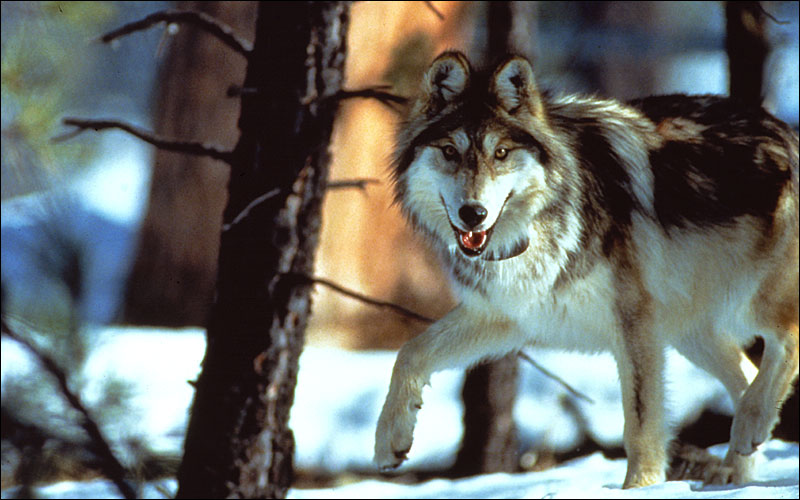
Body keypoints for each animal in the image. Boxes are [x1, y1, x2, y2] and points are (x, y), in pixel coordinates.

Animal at [374, 51, 799, 488]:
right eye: (449, 151)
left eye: (501, 154)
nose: (472, 214)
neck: (537, 228)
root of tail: (785, 129)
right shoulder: (508, 315)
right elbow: (409, 353)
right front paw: (390, 442)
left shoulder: (634, 325)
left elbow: (641, 425)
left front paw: (639, 488)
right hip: (691, 333)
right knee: (747, 375)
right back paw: (737, 467)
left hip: (748, 304)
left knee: (788, 341)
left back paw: (749, 431)